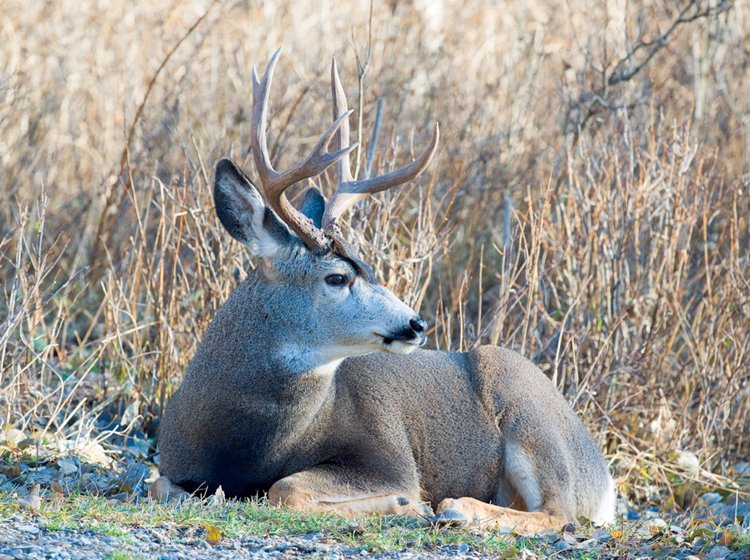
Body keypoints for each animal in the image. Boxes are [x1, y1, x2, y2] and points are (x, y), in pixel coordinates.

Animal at [153, 51, 616, 532]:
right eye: (338, 277)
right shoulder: (174, 462)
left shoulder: (389, 455)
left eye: (369, 267)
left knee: (561, 513)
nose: (416, 323)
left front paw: (406, 504)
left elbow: (286, 488)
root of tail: (604, 480)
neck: (245, 445)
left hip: (526, 406)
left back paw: (456, 507)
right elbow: (159, 485)